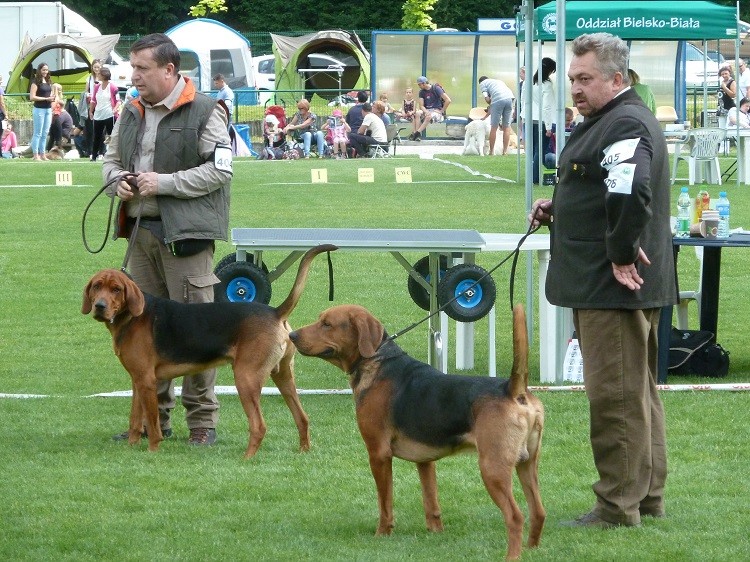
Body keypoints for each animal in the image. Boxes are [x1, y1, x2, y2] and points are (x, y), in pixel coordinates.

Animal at [83, 243, 338, 458]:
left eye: (116, 289)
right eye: (97, 286)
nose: (99, 306)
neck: (131, 317)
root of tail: (275, 312)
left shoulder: (147, 381)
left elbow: (153, 425)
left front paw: (152, 452)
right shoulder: (137, 380)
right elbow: (135, 421)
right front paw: (131, 447)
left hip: (246, 379)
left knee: (259, 426)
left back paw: (247, 458)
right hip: (284, 377)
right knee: (302, 419)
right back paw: (303, 451)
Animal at [290, 304, 548, 556]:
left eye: (327, 324)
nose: (292, 336)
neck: (377, 361)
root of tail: (512, 390)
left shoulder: (378, 454)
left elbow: (385, 503)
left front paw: (382, 533)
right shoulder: (425, 460)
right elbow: (431, 501)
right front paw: (435, 532)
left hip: (492, 469)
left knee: (515, 517)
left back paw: (512, 556)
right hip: (527, 465)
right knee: (538, 511)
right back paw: (531, 549)